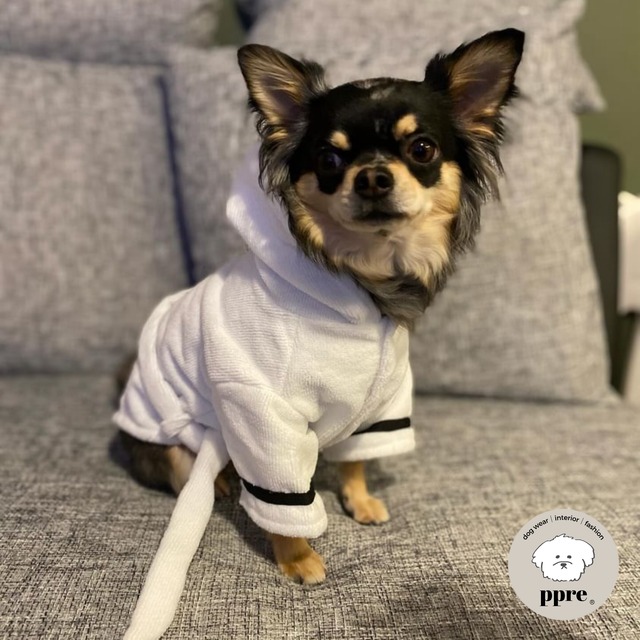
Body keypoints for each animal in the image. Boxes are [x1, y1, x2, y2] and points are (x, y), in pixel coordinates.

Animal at [116, 29, 524, 598]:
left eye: (422, 149)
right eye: (329, 160)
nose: (372, 177)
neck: (365, 280)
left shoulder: (381, 403)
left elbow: (356, 462)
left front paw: (361, 499)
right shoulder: (263, 415)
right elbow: (283, 499)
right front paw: (297, 557)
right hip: (172, 440)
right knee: (187, 466)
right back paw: (219, 478)